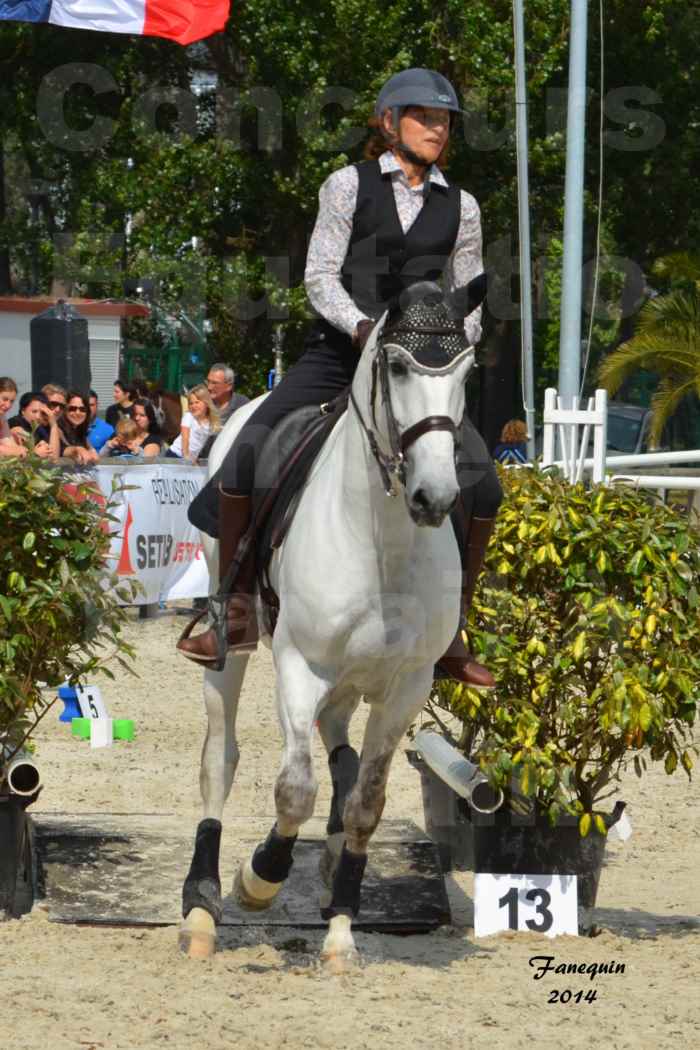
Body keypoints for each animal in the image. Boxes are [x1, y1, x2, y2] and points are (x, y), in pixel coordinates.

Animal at [178, 281, 478, 965]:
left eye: (466, 370)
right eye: (397, 366)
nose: (435, 498)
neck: (383, 541)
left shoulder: (407, 686)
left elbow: (367, 801)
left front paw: (342, 928)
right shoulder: (301, 665)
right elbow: (295, 790)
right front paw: (259, 877)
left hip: (356, 677)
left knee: (340, 745)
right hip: (232, 647)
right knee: (220, 760)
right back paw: (203, 906)